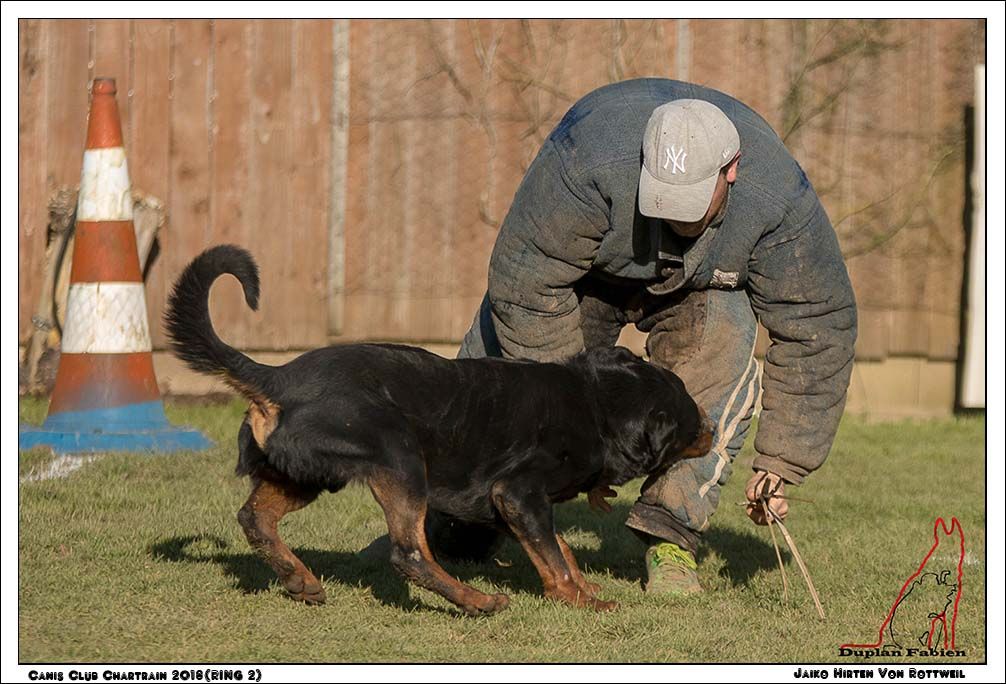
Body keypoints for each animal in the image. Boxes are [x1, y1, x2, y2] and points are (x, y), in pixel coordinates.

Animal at [164, 245, 712, 615]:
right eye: (691, 421)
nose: (712, 428)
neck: (598, 404)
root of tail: (276, 376)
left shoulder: (521, 505)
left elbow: (561, 547)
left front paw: (584, 588)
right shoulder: (517, 492)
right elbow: (553, 557)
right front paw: (582, 601)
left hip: (306, 475)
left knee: (255, 518)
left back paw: (301, 580)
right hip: (401, 460)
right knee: (409, 554)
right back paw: (477, 601)